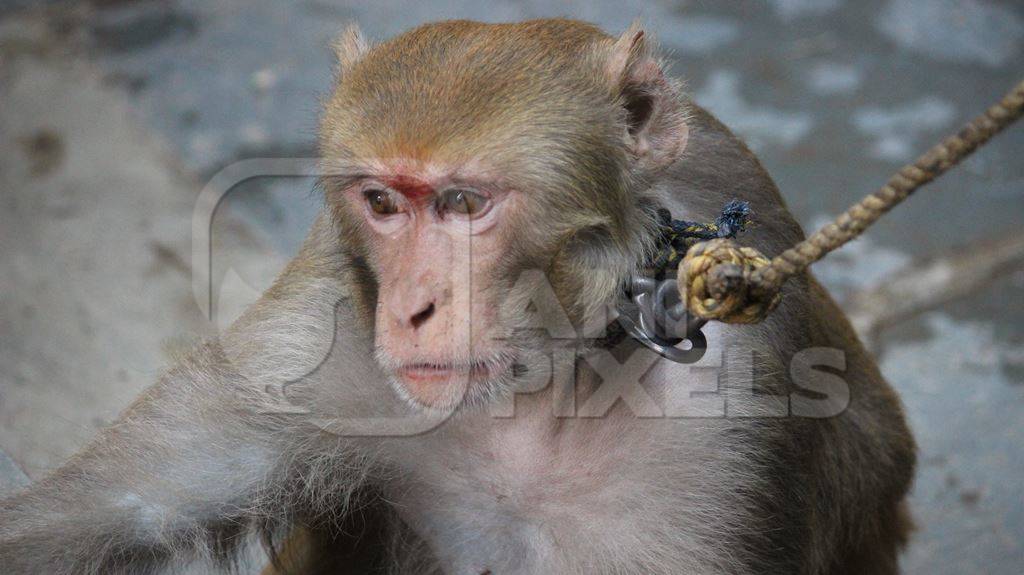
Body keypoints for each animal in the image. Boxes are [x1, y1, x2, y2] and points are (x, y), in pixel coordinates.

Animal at [0, 19, 913, 572]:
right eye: (382, 202)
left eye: (465, 203)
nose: (410, 309)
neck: (547, 385)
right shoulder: (321, 328)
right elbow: (106, 511)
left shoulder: (731, 419)